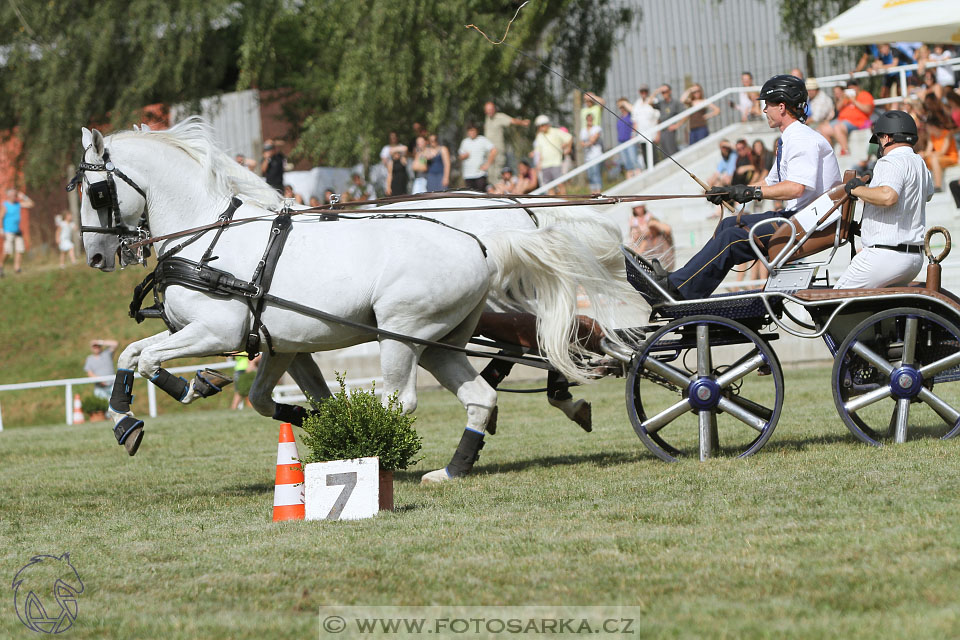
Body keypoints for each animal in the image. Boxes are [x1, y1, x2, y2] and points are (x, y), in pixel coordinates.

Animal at [75, 117, 644, 482]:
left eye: (96, 192)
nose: (97, 256)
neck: (211, 236)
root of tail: (487, 241)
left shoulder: (216, 331)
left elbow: (148, 358)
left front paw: (183, 389)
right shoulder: (282, 347)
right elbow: (250, 393)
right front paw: (127, 418)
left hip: (403, 333)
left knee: (403, 398)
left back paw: (378, 459)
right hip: (441, 343)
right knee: (481, 394)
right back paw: (451, 469)